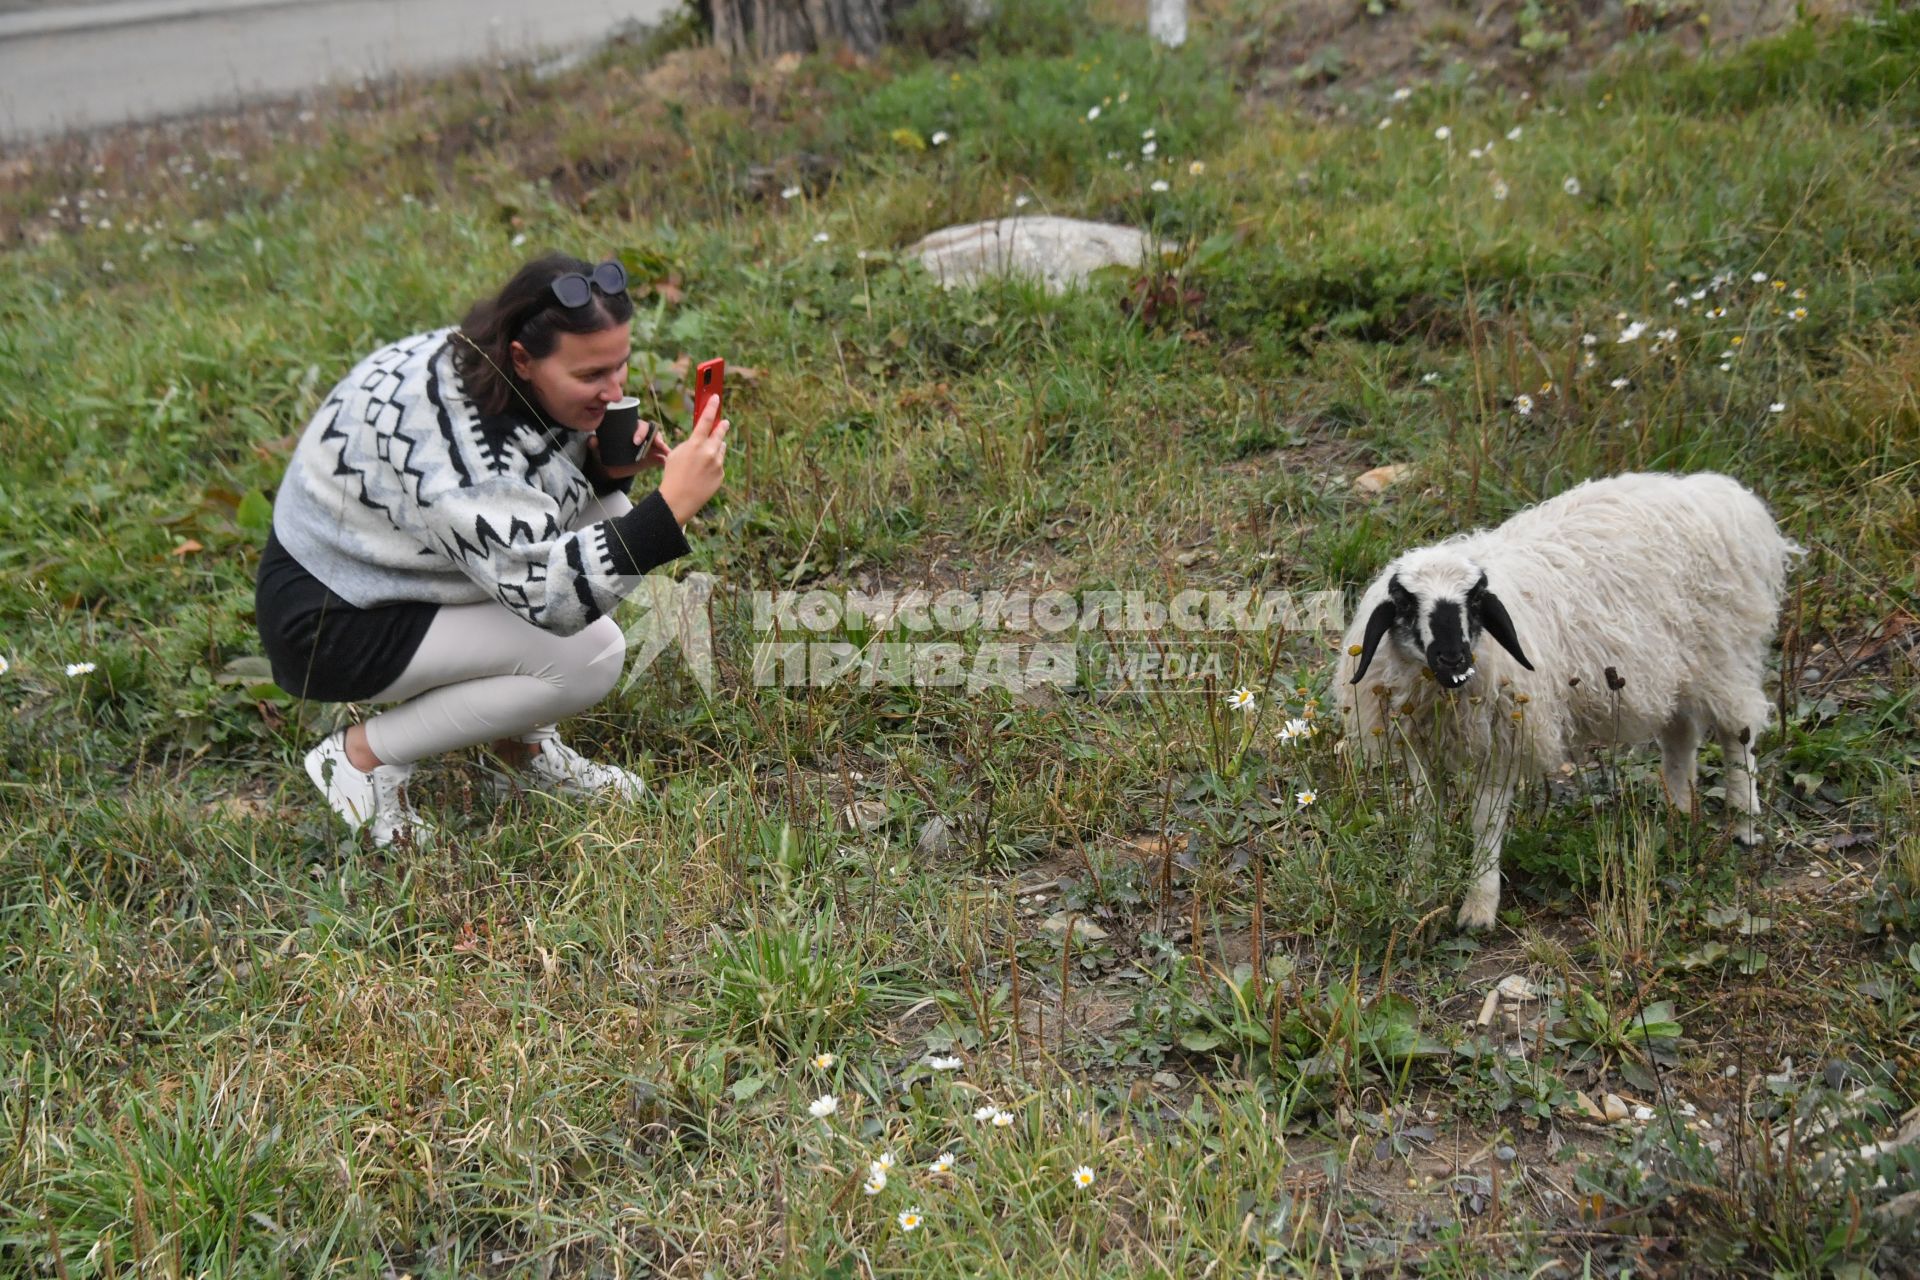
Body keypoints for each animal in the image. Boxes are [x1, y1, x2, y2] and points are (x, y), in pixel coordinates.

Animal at [1336, 470, 1797, 932]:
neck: (1446, 693)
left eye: (1475, 601)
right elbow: (1425, 812)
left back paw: (1744, 821)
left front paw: (1479, 906)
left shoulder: (1504, 737)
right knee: (1680, 735)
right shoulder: (1420, 741)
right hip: (1672, 668)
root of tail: (1715, 492)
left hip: (1725, 652)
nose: (1454, 658)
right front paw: (1413, 886)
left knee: (1738, 731)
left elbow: (1485, 820)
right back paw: (1680, 811)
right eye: (1406, 603)